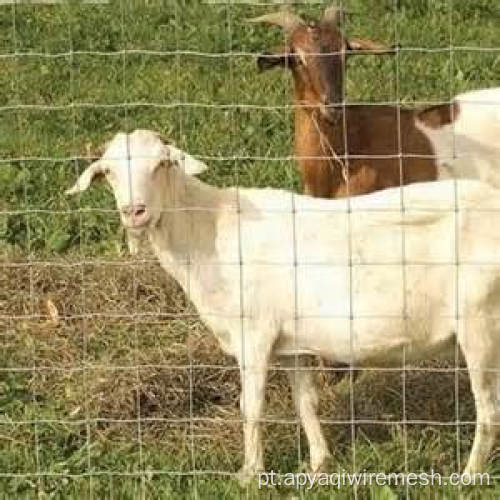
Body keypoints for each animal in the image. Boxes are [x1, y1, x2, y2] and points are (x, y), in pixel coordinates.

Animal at [67, 130, 500, 480]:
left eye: (162, 164)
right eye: (109, 172)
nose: (134, 212)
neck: (208, 231)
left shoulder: (254, 335)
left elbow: (251, 406)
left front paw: (250, 474)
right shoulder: (292, 343)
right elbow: (304, 402)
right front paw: (319, 464)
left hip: (480, 322)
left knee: (489, 410)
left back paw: (469, 476)